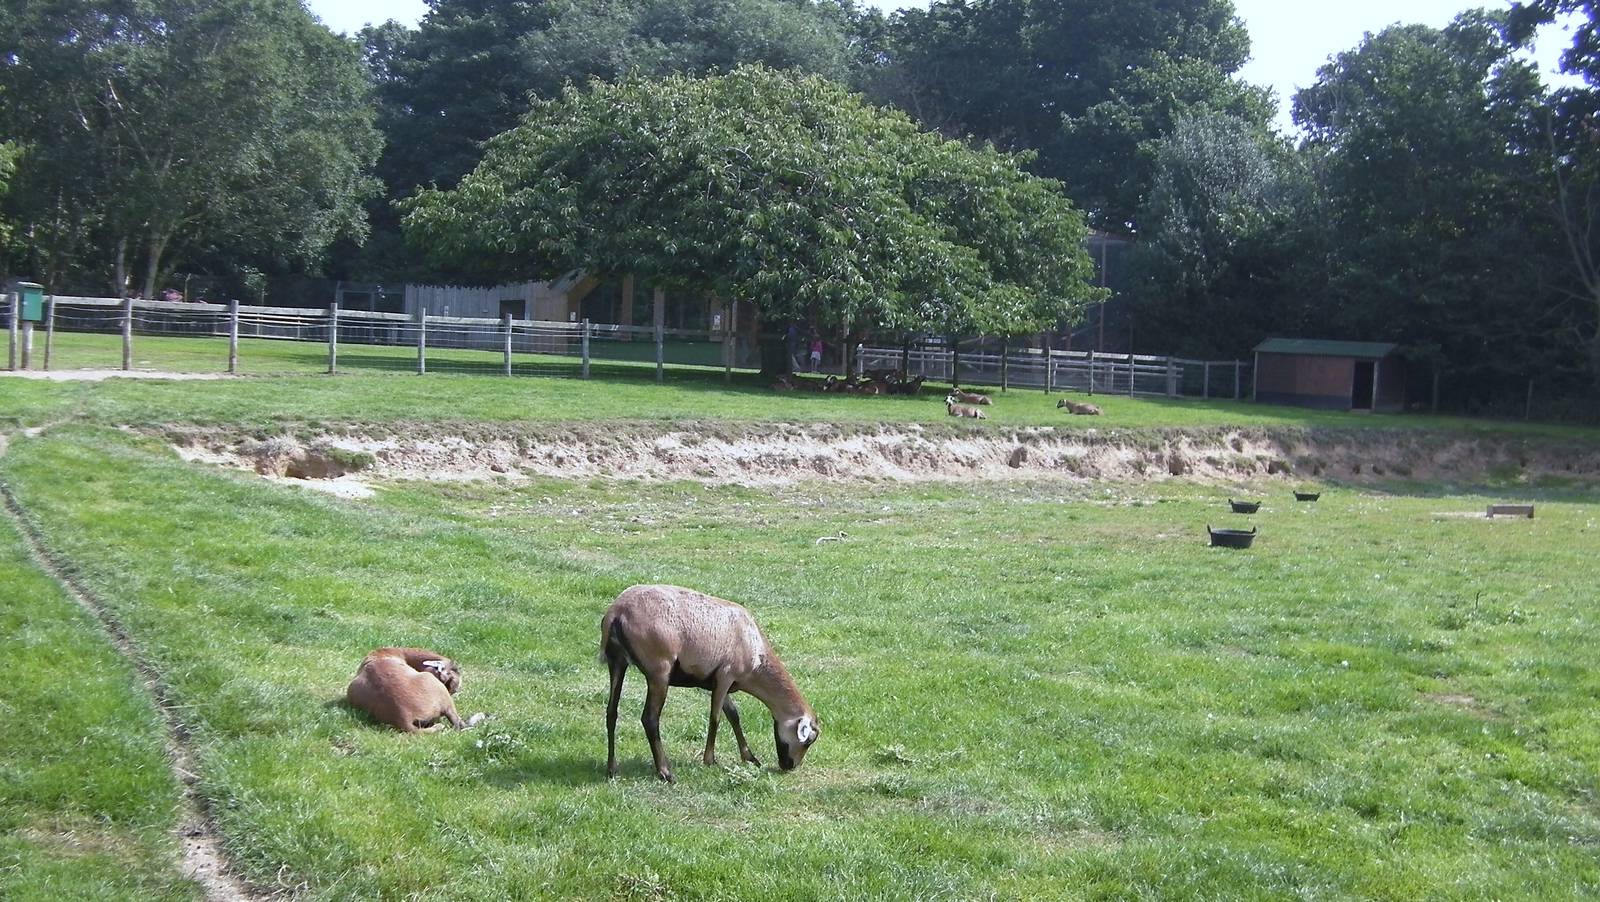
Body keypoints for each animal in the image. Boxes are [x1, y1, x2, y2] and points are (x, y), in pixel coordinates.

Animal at [600, 584, 820, 783]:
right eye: (808, 741)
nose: (790, 766)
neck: (757, 658)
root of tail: (616, 612)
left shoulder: (718, 682)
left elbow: (733, 715)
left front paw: (750, 757)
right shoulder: (725, 675)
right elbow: (716, 718)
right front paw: (710, 760)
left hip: (617, 662)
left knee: (611, 712)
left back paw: (612, 769)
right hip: (659, 670)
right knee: (650, 719)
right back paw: (665, 772)